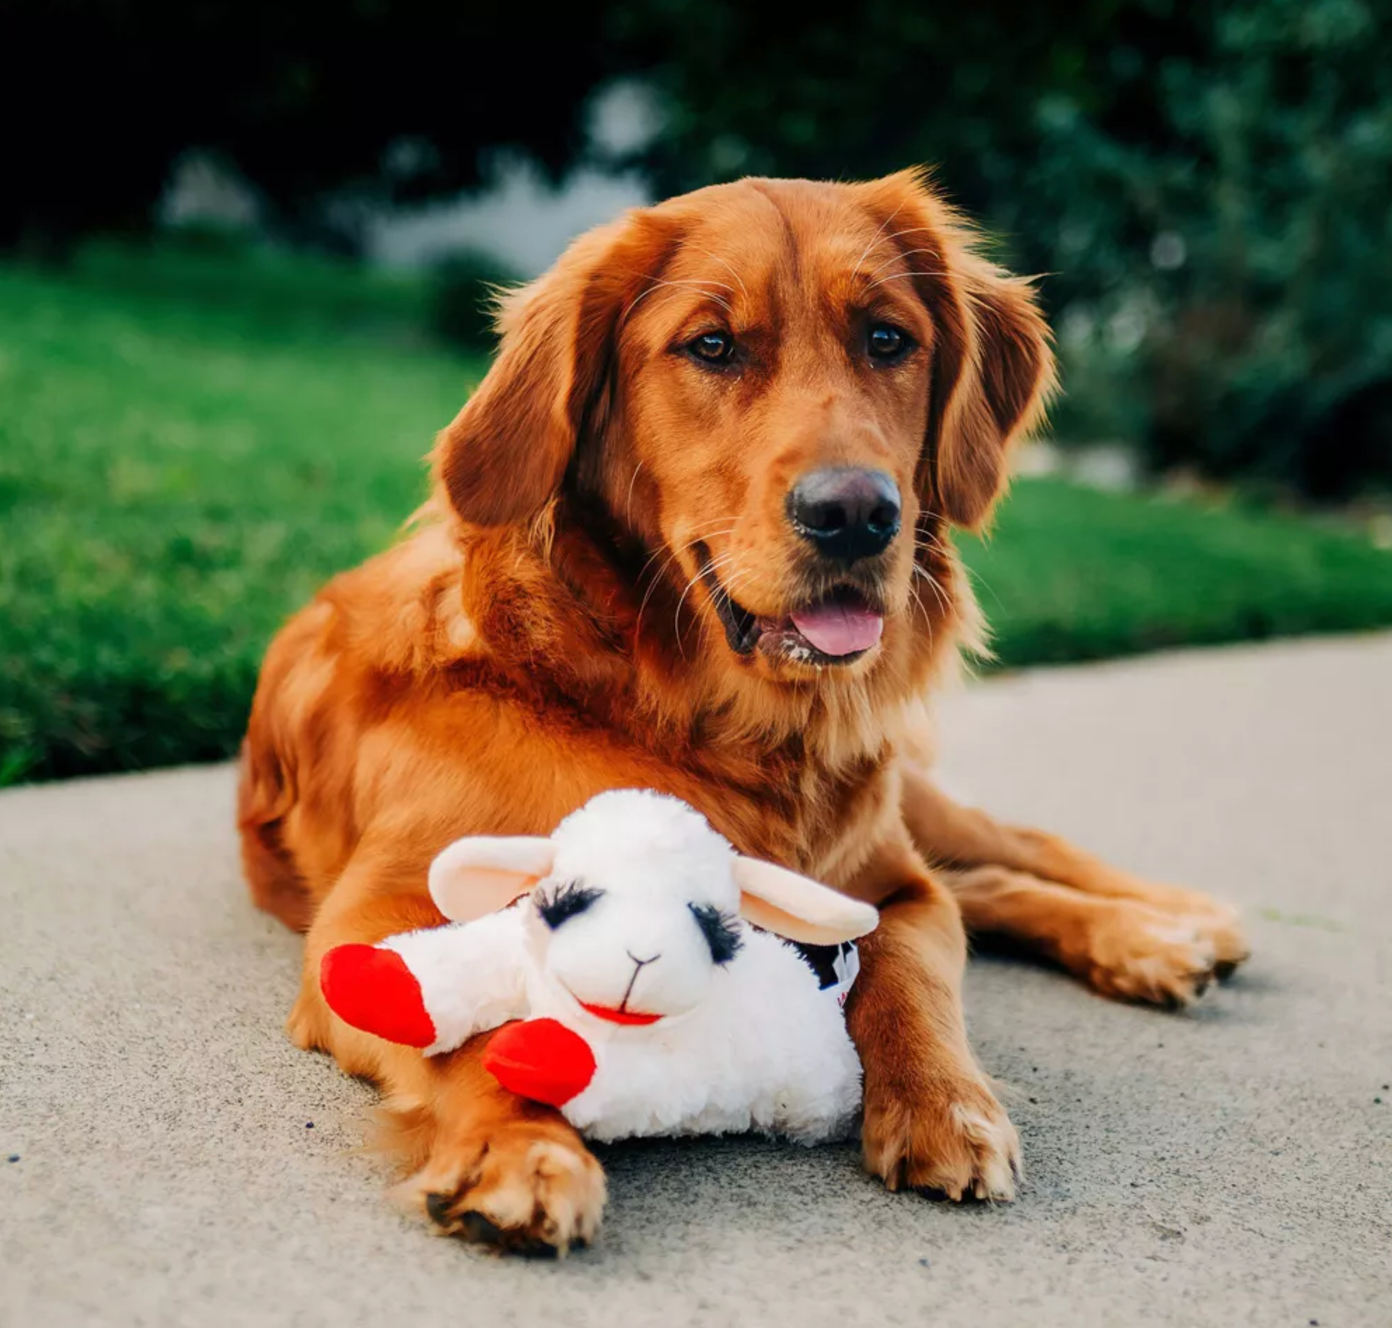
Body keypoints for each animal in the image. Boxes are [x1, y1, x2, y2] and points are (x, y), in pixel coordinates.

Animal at [239, 168, 1252, 1252]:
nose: (855, 514)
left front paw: (945, 1103)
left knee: (1015, 849)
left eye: (887, 338)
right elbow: (467, 1020)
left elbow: (911, 973)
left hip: (910, 803)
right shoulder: (372, 918)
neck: (701, 722)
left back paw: (1173, 927)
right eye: (713, 346)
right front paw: (518, 1148)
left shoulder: (890, 884)